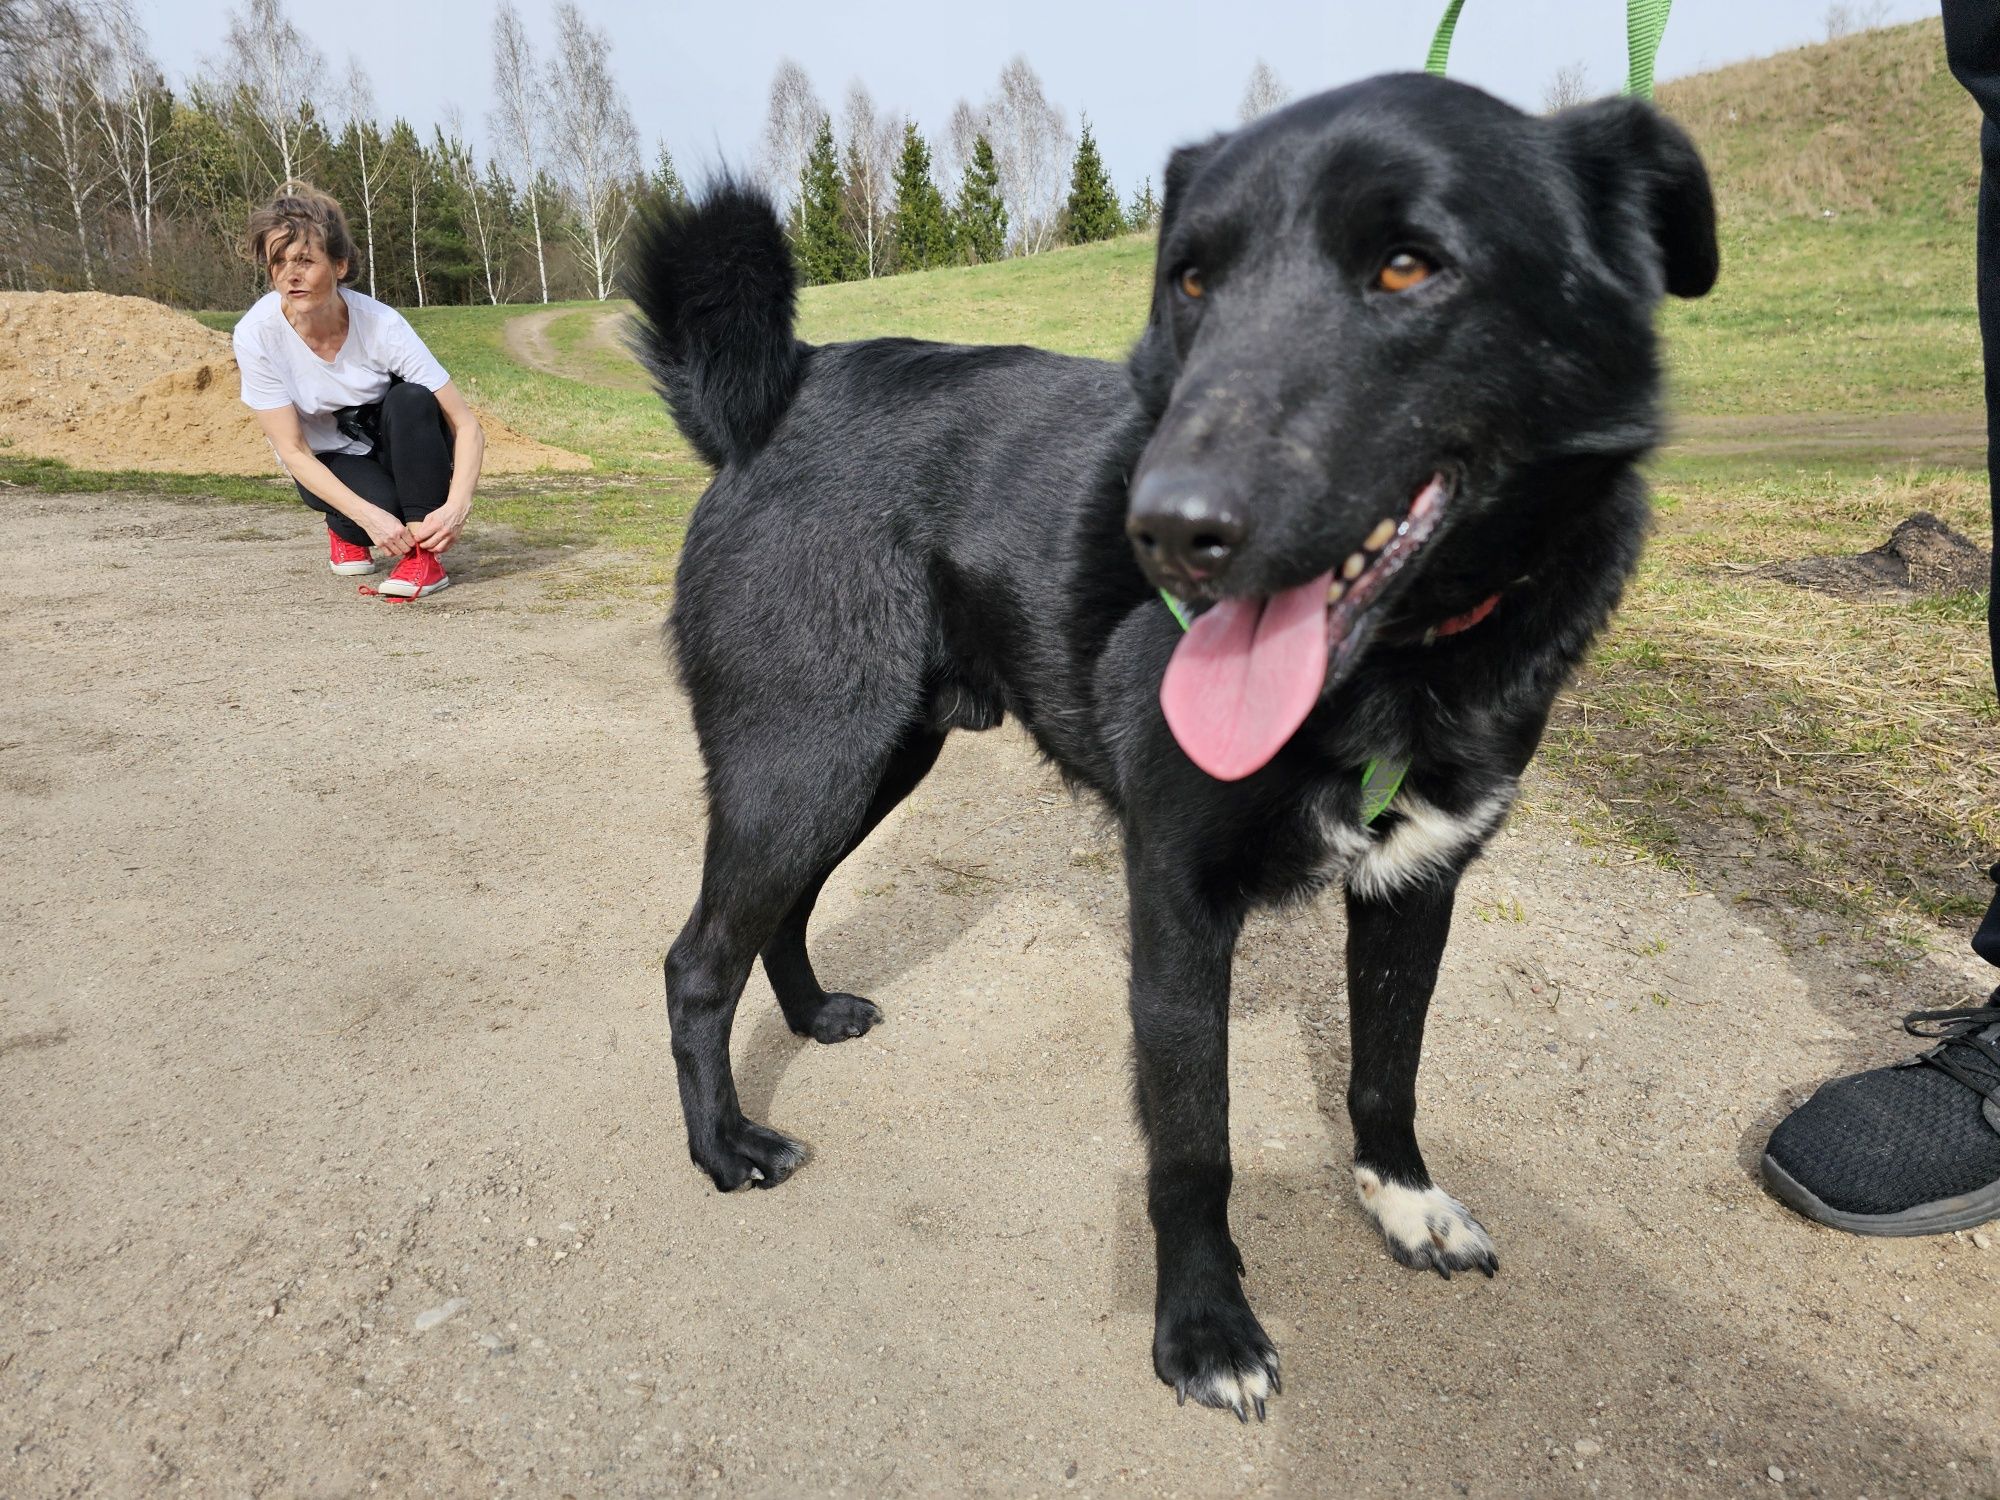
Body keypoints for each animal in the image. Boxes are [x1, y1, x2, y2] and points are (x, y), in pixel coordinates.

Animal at [628, 76, 1720, 1424]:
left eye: (1409, 266)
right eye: (1188, 280)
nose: (1160, 529)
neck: (1396, 666)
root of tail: (779, 393)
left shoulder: (1415, 883)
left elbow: (1386, 1068)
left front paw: (1402, 1202)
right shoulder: (1176, 904)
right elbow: (1196, 1144)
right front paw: (1204, 1330)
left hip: (868, 760)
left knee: (777, 909)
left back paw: (812, 1011)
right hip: (801, 753)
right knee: (695, 959)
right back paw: (721, 1146)